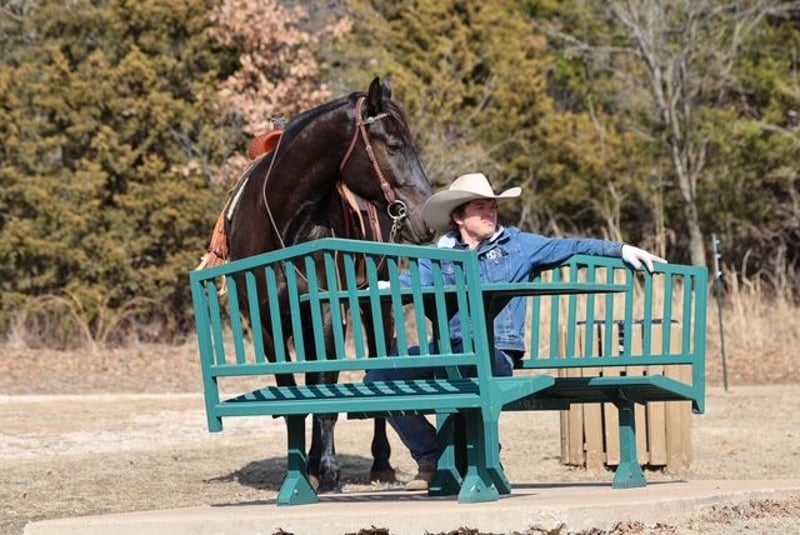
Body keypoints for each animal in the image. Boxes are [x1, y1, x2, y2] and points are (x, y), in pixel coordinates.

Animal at [221, 77, 433, 491]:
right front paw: (301, 469)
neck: (282, 221)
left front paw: (330, 470)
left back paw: (377, 462)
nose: (425, 217)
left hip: (376, 307)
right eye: (394, 145)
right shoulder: (267, 324)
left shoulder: (328, 314)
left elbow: (325, 392)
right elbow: (295, 398)